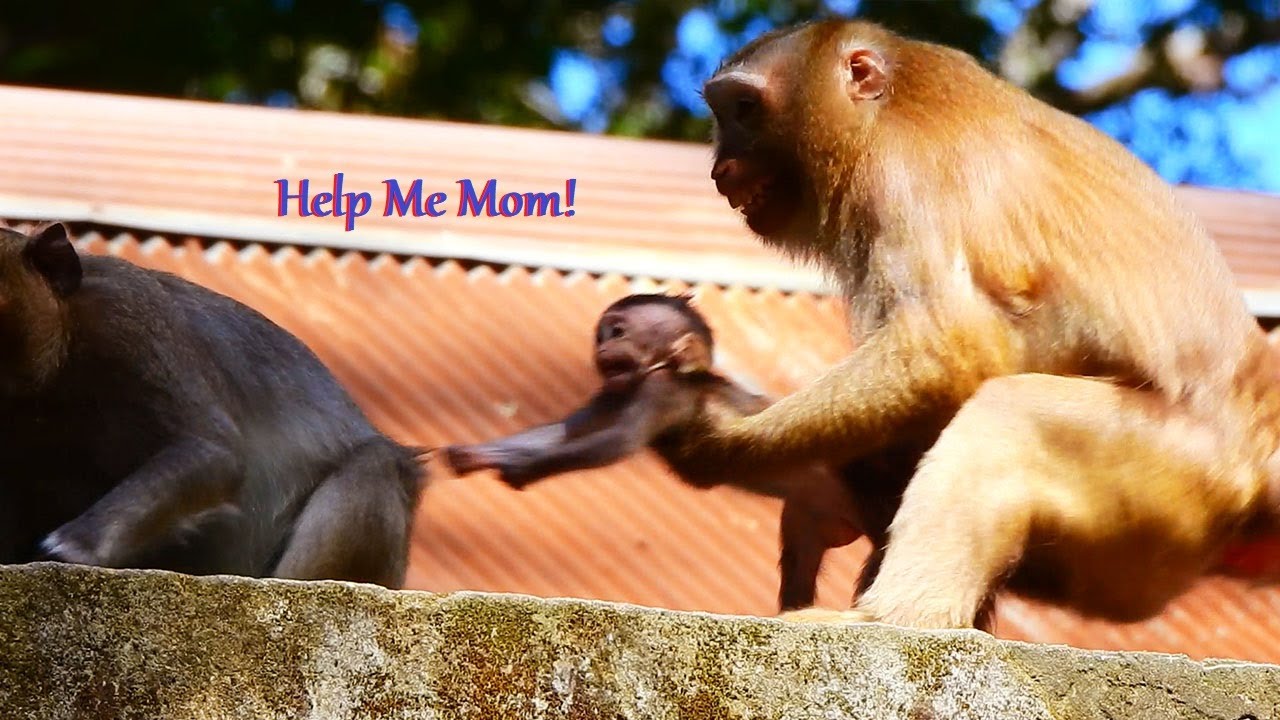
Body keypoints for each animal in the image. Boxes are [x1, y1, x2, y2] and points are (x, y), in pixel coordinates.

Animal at [441, 293, 864, 611]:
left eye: (618, 331)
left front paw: (523, 469)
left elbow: (619, 441)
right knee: (800, 543)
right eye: (602, 334)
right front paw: (476, 455)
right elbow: (567, 431)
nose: (603, 344)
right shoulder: (618, 390)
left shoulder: (662, 388)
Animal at [645, 19, 1280, 631]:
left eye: (745, 108)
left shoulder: (900, 175)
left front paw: (719, 439)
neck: (889, 105)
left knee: (1009, 413)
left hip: (1180, 473)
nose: (721, 167)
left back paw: (895, 619)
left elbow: (951, 344)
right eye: (722, 113)